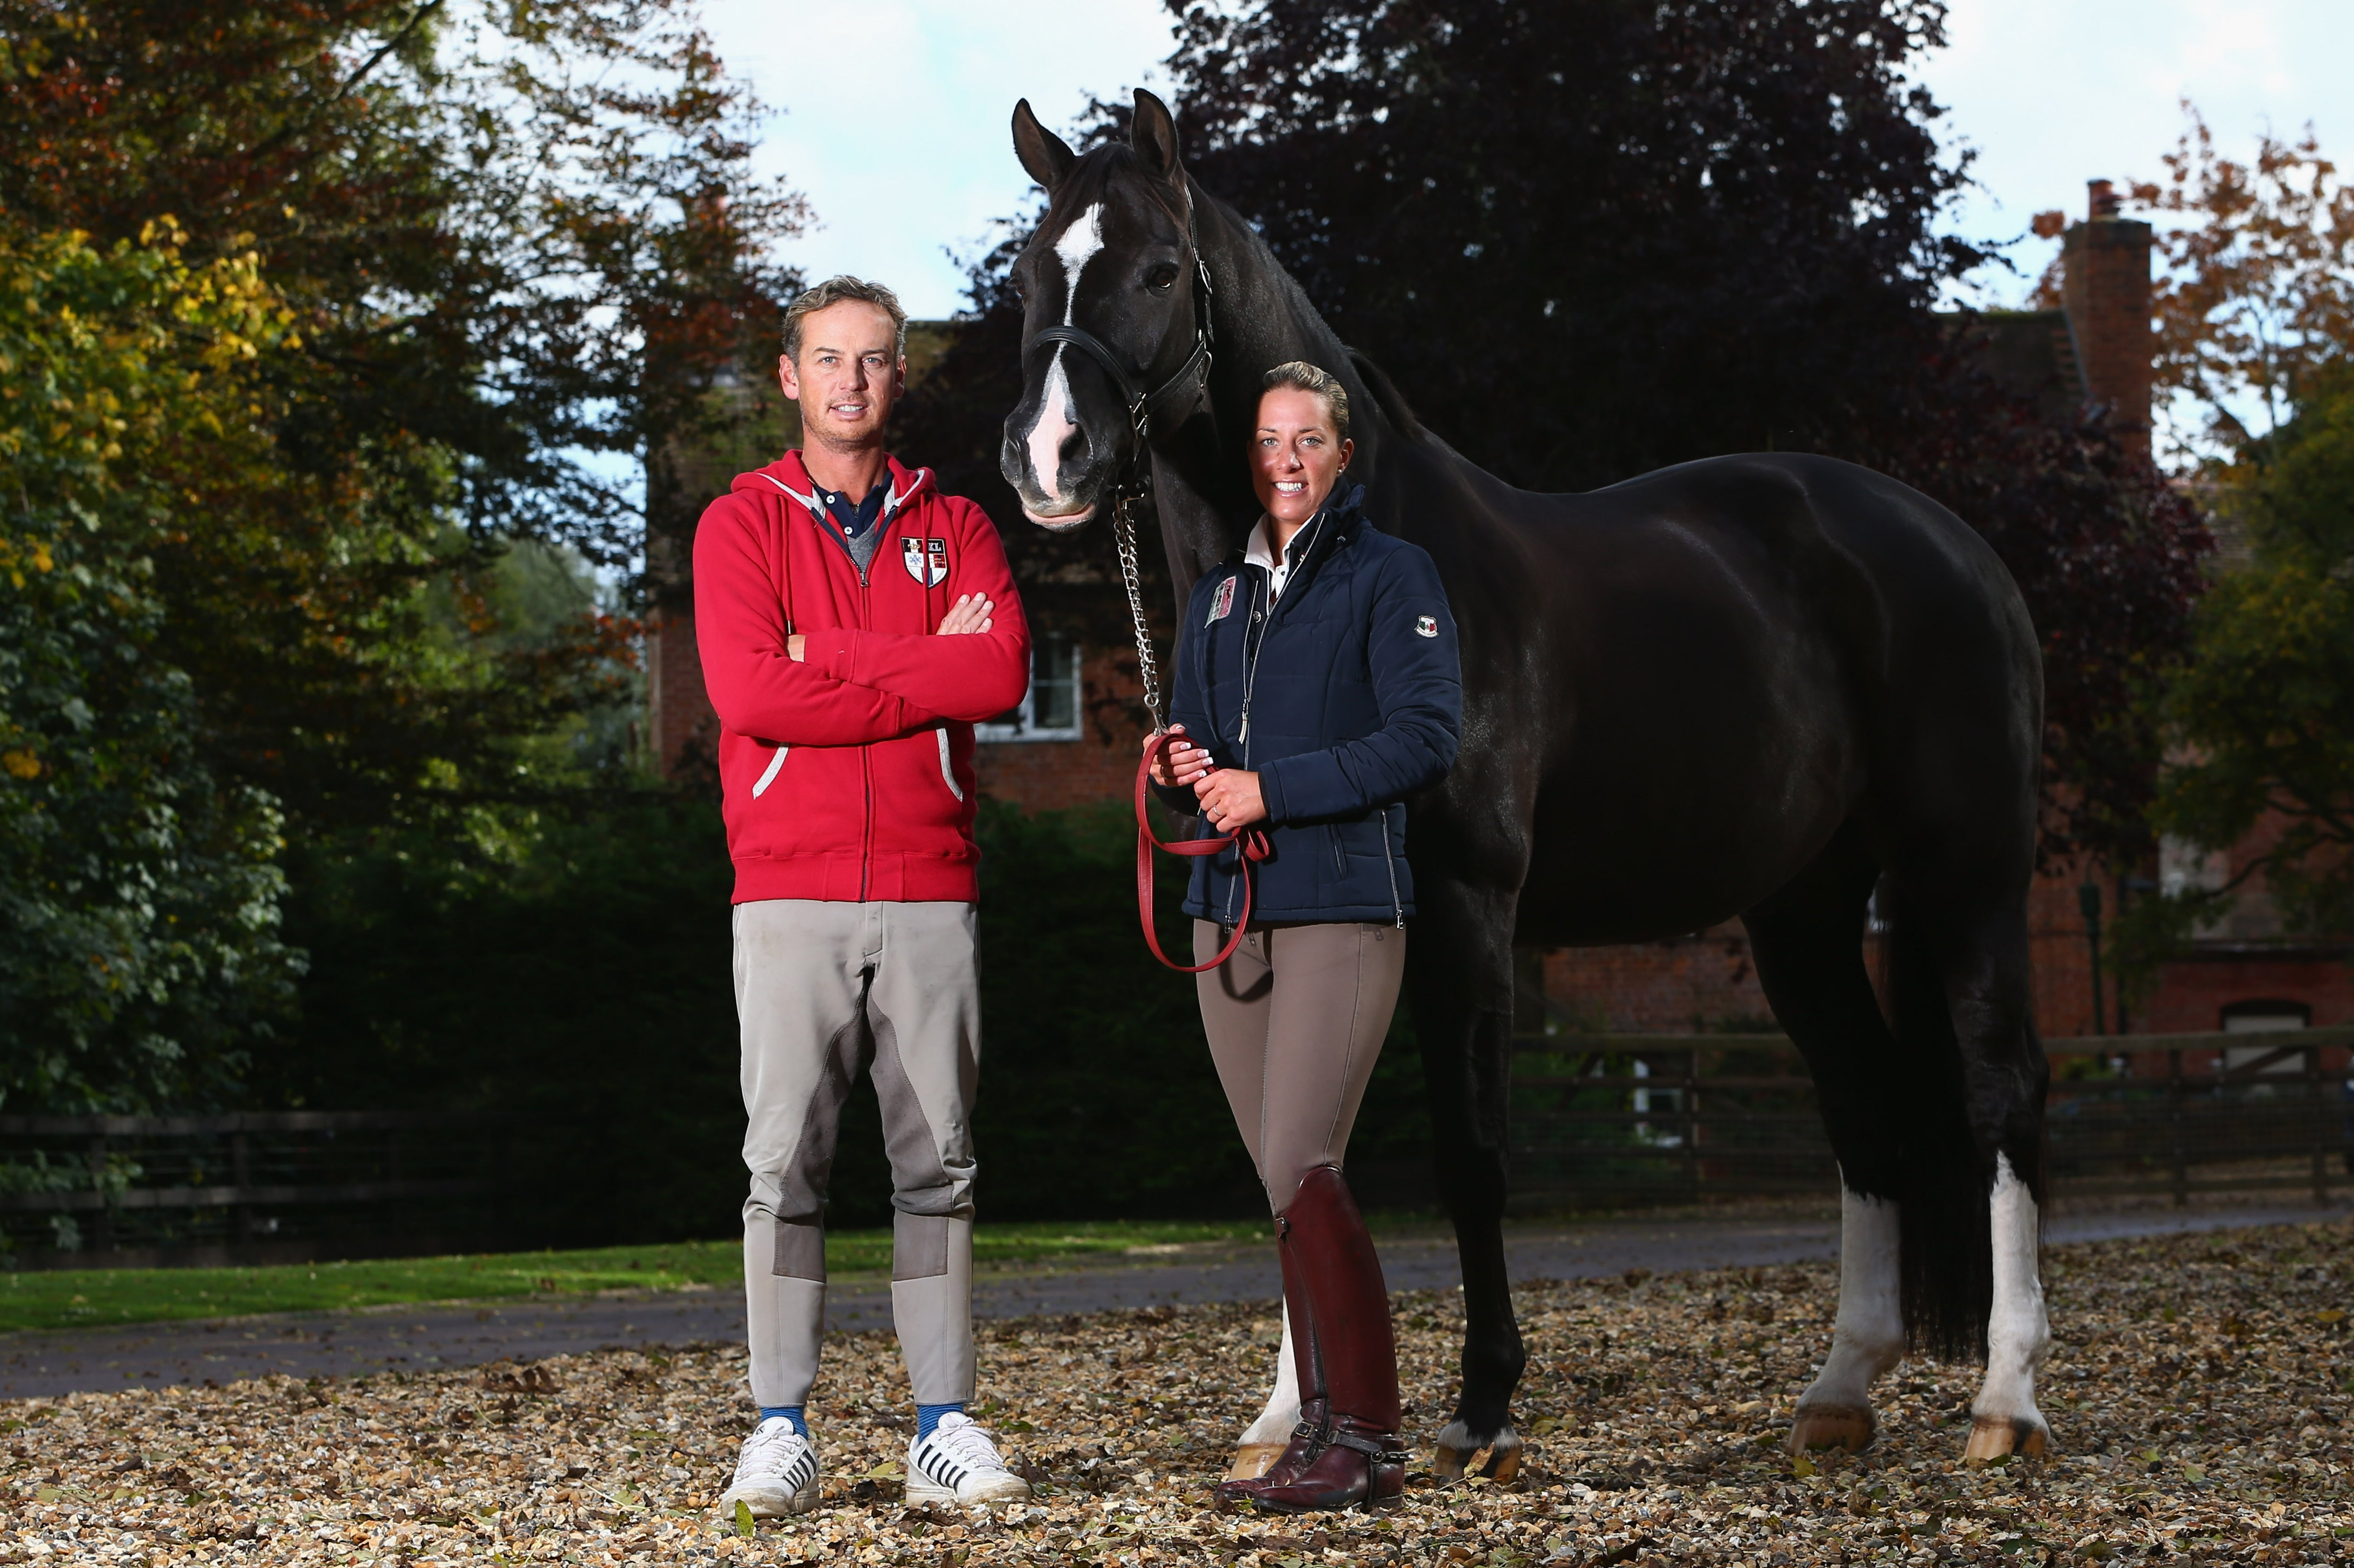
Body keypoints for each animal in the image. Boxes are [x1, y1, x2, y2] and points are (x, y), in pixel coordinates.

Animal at [1003, 92, 2053, 1469]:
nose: (1050, 456)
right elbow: (1294, 1148)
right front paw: (1284, 1420)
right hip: (1803, 909)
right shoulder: (1262, 916)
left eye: (1160, 271)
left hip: (1963, 873)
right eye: (1030, 276)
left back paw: (2006, 1399)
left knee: (1997, 1091)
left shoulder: (1465, 909)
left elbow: (1473, 1151)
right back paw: (1837, 1391)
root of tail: (1951, 543)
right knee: (1865, 1101)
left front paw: (1483, 1407)